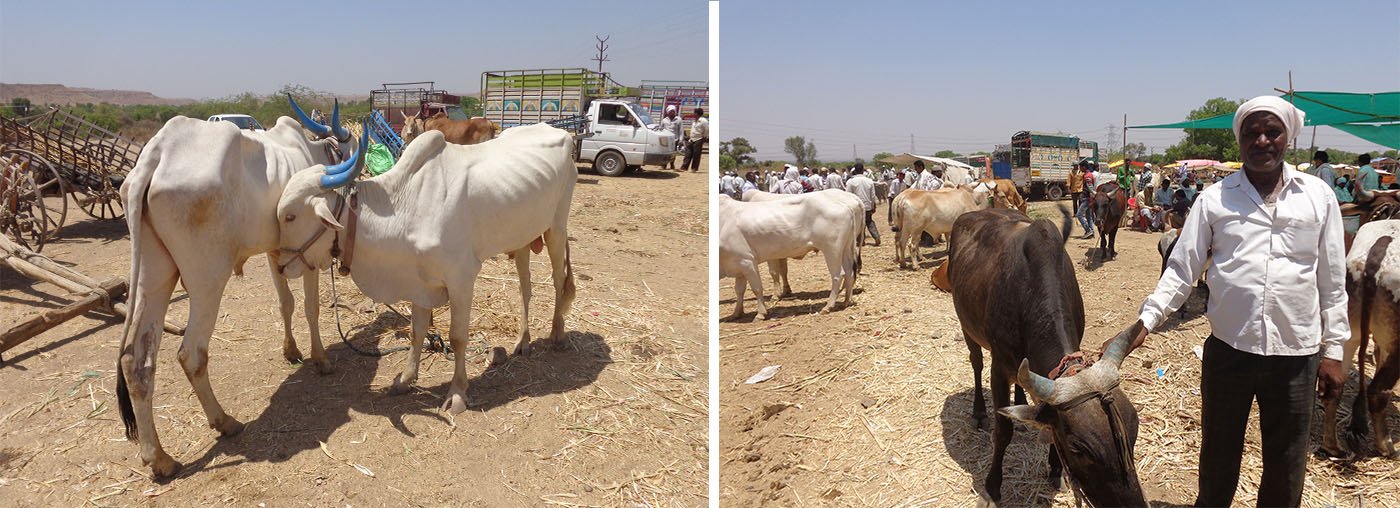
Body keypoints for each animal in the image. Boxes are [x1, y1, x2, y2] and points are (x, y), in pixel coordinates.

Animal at [117, 97, 355, 478]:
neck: (313, 154)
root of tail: (156, 156)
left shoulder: (277, 253)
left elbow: (286, 304)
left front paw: (291, 351)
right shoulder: (306, 253)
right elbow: (310, 307)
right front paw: (320, 358)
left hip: (154, 277)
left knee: (136, 363)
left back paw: (159, 457)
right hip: (207, 280)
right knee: (191, 354)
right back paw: (224, 421)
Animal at [275, 125, 576, 417]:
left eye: (290, 216)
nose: (280, 264)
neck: (404, 207)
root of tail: (560, 132)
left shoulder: (462, 279)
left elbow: (457, 337)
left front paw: (457, 392)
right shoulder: (419, 283)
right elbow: (417, 331)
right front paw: (406, 379)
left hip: (557, 228)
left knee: (559, 280)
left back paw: (557, 334)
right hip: (523, 238)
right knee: (525, 287)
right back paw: (523, 341)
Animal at [722, 188, 862, 320]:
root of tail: (850, 202)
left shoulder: (751, 260)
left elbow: (768, 278)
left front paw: (771, 300)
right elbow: (780, 272)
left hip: (832, 249)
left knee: (839, 275)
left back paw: (829, 306)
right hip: (846, 247)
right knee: (850, 272)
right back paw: (846, 300)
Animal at [946, 205, 1142, 506]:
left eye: (1135, 427)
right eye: (1079, 449)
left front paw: (1055, 469)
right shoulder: (998, 367)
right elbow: (1002, 432)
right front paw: (992, 487)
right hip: (967, 326)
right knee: (976, 364)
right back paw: (979, 412)